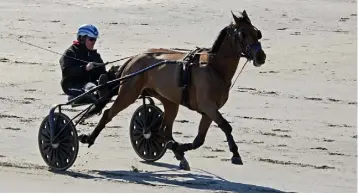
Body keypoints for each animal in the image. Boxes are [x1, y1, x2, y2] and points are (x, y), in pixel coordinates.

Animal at [79, 9, 268, 170]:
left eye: (257, 33)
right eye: (242, 34)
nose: (261, 57)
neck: (214, 67)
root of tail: (134, 58)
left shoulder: (208, 111)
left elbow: (200, 139)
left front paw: (180, 148)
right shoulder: (208, 106)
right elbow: (226, 126)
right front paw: (235, 153)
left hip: (170, 101)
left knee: (165, 129)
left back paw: (177, 151)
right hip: (128, 93)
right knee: (108, 114)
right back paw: (90, 138)